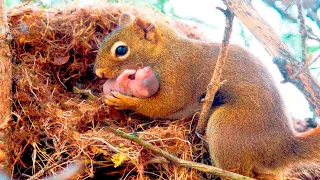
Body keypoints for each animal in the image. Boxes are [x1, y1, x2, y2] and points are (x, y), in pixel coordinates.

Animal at [94, 11, 320, 178]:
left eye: (121, 50)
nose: (98, 73)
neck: (166, 52)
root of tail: (283, 147)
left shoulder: (179, 74)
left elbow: (166, 104)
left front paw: (124, 101)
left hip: (227, 128)